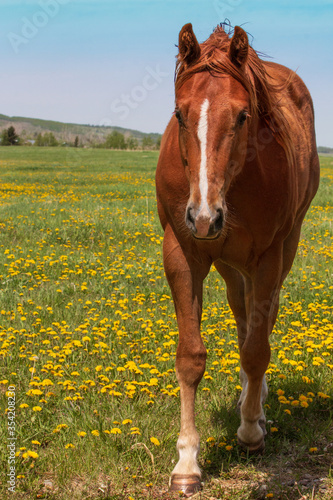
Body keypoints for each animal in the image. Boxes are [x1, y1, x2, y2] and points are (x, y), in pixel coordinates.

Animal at [156, 23, 320, 496]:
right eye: (180, 114)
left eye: (244, 115)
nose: (204, 216)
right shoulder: (182, 252)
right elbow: (191, 357)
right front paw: (187, 462)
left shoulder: (267, 257)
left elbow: (257, 350)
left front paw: (249, 431)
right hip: (230, 267)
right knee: (243, 314)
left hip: (281, 252)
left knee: (261, 324)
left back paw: (256, 406)